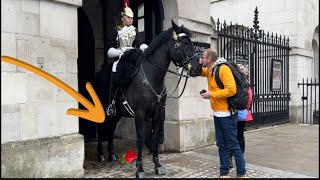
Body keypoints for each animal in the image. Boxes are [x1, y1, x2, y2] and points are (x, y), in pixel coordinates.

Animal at [96, 20, 200, 178]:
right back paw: (101, 154)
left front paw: (158, 165)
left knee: (110, 130)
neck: (152, 78)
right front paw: (140, 169)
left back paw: (112, 154)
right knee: (100, 128)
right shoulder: (139, 114)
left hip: (116, 115)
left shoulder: (158, 114)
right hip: (103, 111)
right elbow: (140, 139)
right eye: (184, 43)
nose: (198, 68)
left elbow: (155, 137)